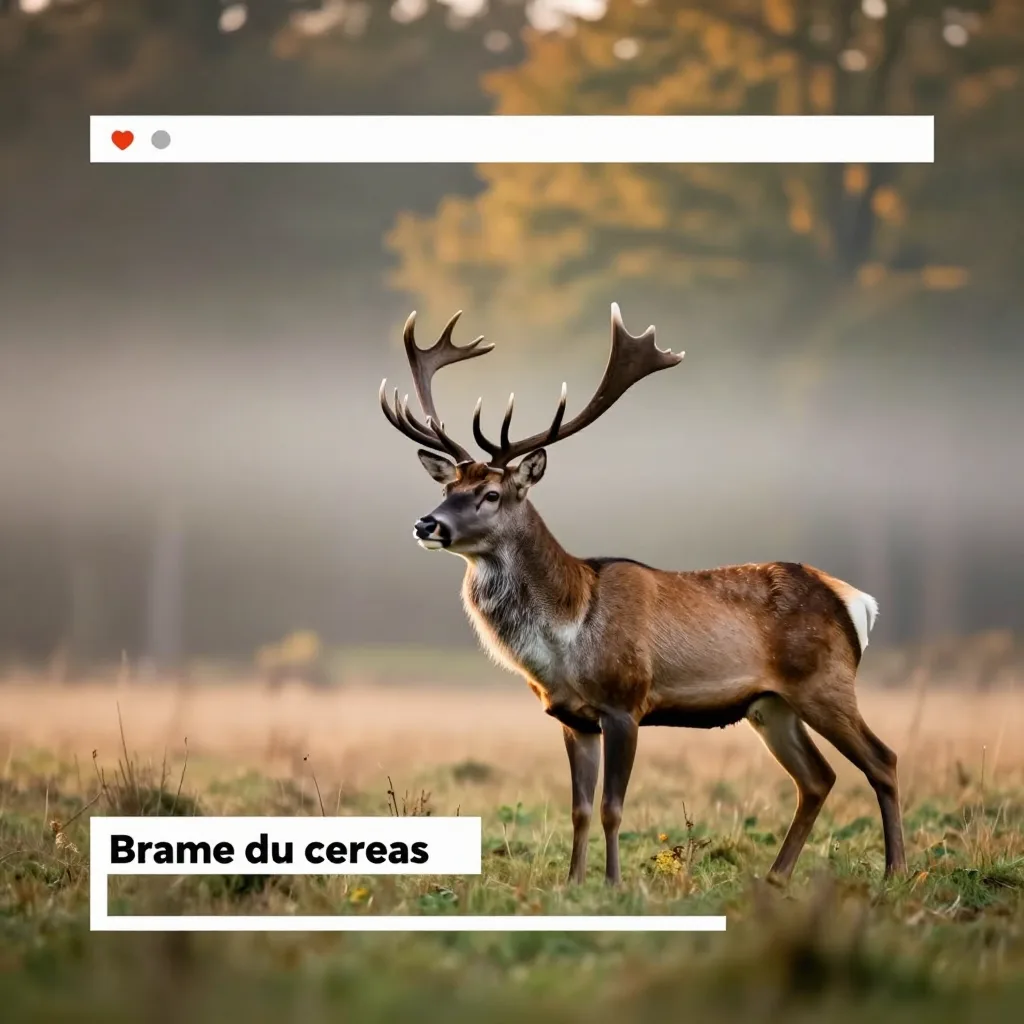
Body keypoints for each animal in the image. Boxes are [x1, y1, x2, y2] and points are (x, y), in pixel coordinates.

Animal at [378, 303, 908, 887]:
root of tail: (855, 601)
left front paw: (612, 884)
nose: (427, 524)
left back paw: (896, 871)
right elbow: (580, 808)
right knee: (817, 778)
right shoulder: (573, 719)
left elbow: (613, 806)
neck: (568, 631)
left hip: (825, 682)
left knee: (882, 759)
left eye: (491, 494)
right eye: (447, 488)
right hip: (771, 705)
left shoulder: (625, 702)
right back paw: (776, 877)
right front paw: (574, 884)